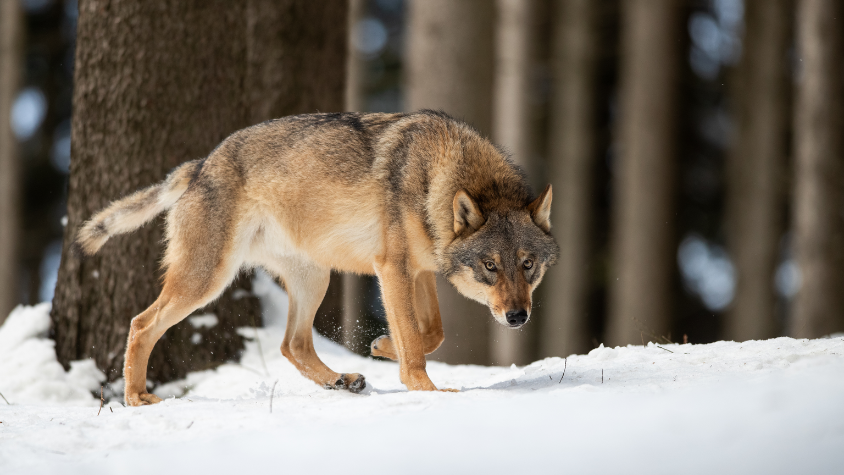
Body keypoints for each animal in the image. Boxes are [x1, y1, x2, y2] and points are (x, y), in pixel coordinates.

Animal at [74, 110, 560, 406]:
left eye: (528, 265)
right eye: (490, 266)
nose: (517, 316)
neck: (437, 177)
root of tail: (198, 167)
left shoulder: (420, 271)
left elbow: (432, 333)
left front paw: (383, 347)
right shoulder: (392, 269)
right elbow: (416, 341)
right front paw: (426, 389)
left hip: (315, 278)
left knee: (293, 344)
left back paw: (340, 380)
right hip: (206, 282)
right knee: (141, 324)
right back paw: (135, 399)